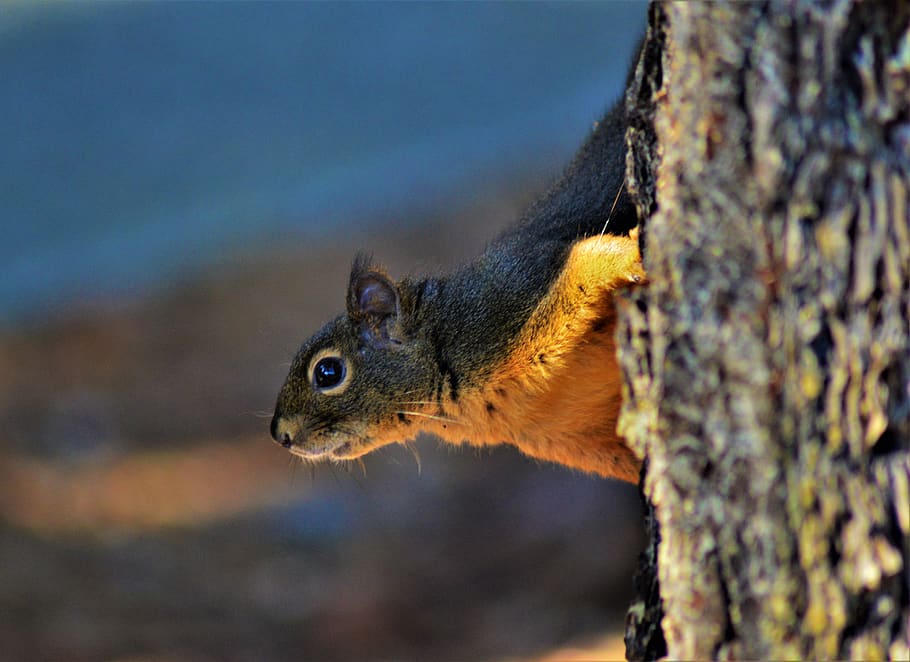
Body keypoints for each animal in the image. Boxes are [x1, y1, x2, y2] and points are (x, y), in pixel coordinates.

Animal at [270, 96, 647, 483]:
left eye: (327, 372)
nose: (279, 435)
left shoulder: (515, 293)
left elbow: (589, 258)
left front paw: (636, 255)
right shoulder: (581, 437)